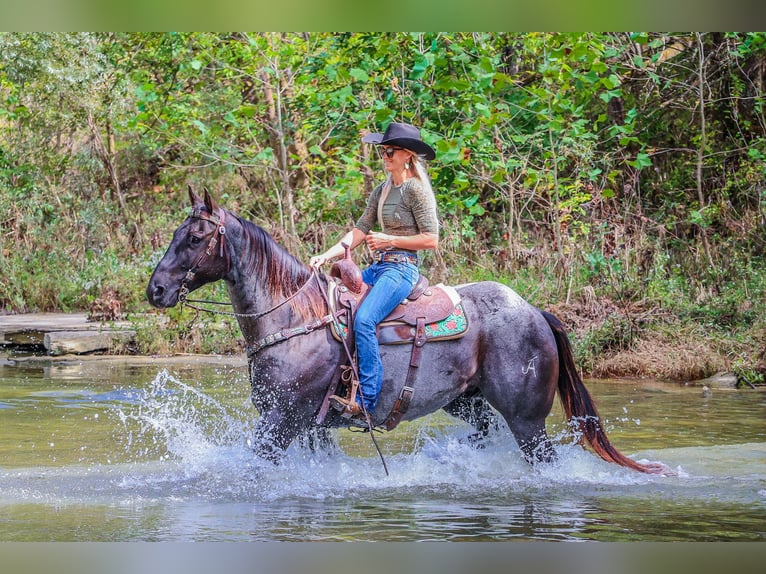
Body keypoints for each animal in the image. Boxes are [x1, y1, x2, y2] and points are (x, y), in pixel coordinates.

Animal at [148, 189, 664, 476]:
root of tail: (535, 311)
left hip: (527, 420)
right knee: (482, 433)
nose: (156, 289)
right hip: (467, 402)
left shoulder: (281, 421)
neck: (294, 319)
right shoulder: (309, 429)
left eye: (195, 238)